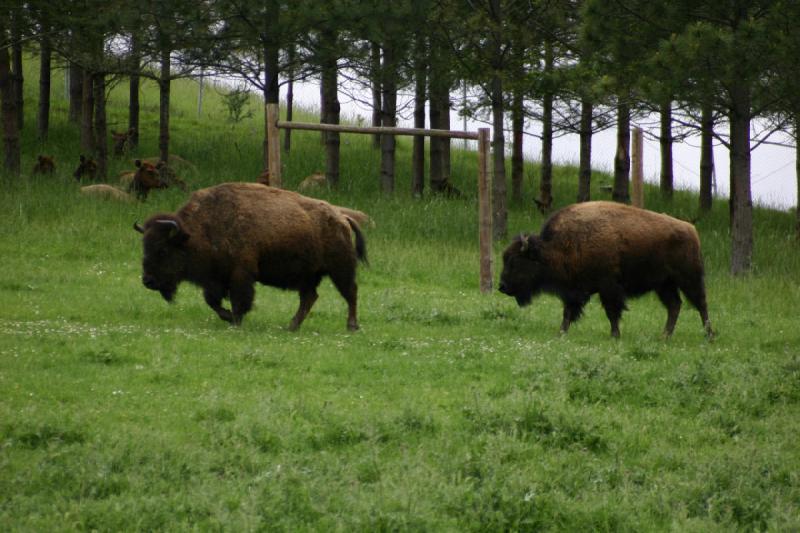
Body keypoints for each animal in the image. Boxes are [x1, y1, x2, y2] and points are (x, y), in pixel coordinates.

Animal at [132, 185, 368, 330]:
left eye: (162, 250)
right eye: (144, 247)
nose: (147, 281)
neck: (200, 230)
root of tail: (342, 217)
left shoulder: (240, 274)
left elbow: (239, 301)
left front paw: (235, 321)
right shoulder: (214, 279)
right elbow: (212, 302)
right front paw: (228, 317)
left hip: (340, 269)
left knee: (350, 293)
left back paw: (351, 326)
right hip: (309, 276)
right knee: (309, 298)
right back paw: (291, 326)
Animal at [500, 200, 712, 336]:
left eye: (515, 261)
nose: (502, 286)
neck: (559, 245)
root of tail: (691, 230)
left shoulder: (608, 287)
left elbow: (612, 311)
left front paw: (615, 334)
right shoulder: (574, 289)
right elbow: (568, 311)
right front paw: (561, 332)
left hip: (689, 279)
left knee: (700, 303)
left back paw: (708, 334)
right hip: (664, 284)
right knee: (674, 305)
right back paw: (665, 335)